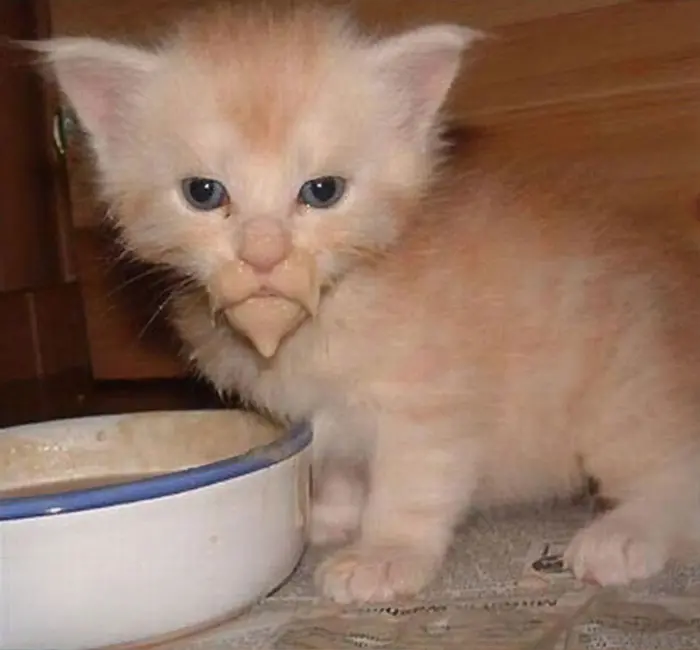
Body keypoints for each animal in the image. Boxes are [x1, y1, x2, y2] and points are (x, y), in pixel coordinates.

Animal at [35, 3, 700, 604]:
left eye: (322, 191)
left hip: (621, 389)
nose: (264, 254)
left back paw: (622, 536)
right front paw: (329, 515)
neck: (327, 311)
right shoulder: (324, 412)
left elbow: (410, 483)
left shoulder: (432, 401)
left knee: (675, 473)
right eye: (203, 193)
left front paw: (385, 554)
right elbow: (339, 463)